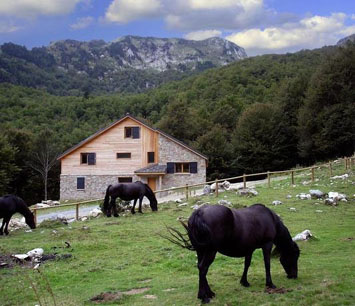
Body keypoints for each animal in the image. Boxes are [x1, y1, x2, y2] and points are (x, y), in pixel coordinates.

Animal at [167, 203, 300, 304]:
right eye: (294, 256)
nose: (294, 276)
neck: (270, 218)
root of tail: (198, 213)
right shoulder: (267, 244)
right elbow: (267, 264)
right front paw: (270, 284)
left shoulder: (249, 249)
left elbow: (247, 264)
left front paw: (244, 282)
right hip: (210, 251)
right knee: (203, 268)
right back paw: (204, 297)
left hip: (201, 251)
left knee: (201, 269)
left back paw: (208, 293)